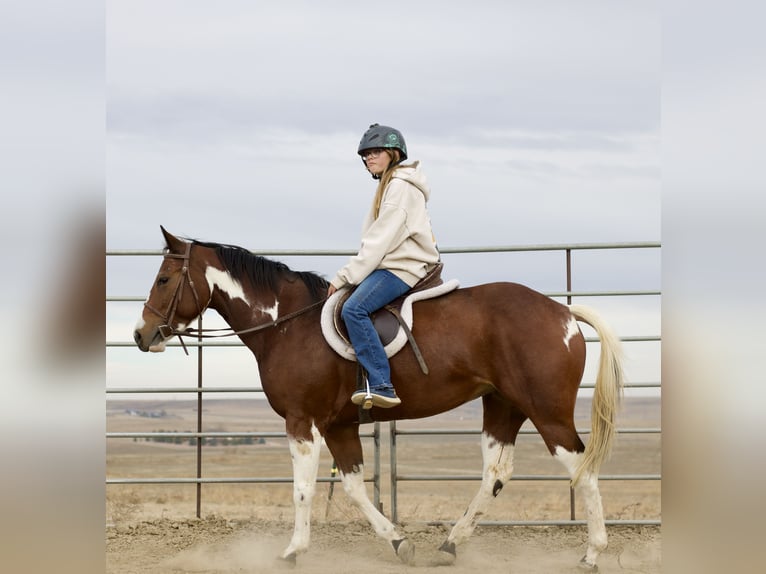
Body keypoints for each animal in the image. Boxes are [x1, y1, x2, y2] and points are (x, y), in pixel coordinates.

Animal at [133, 226, 624, 570]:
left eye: (164, 278)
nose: (141, 334)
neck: (287, 324)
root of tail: (562, 311)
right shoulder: (339, 426)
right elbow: (352, 487)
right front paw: (399, 543)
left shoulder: (302, 421)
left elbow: (302, 490)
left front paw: (292, 551)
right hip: (503, 407)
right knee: (495, 474)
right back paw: (449, 545)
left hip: (547, 413)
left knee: (582, 469)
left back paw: (592, 554)